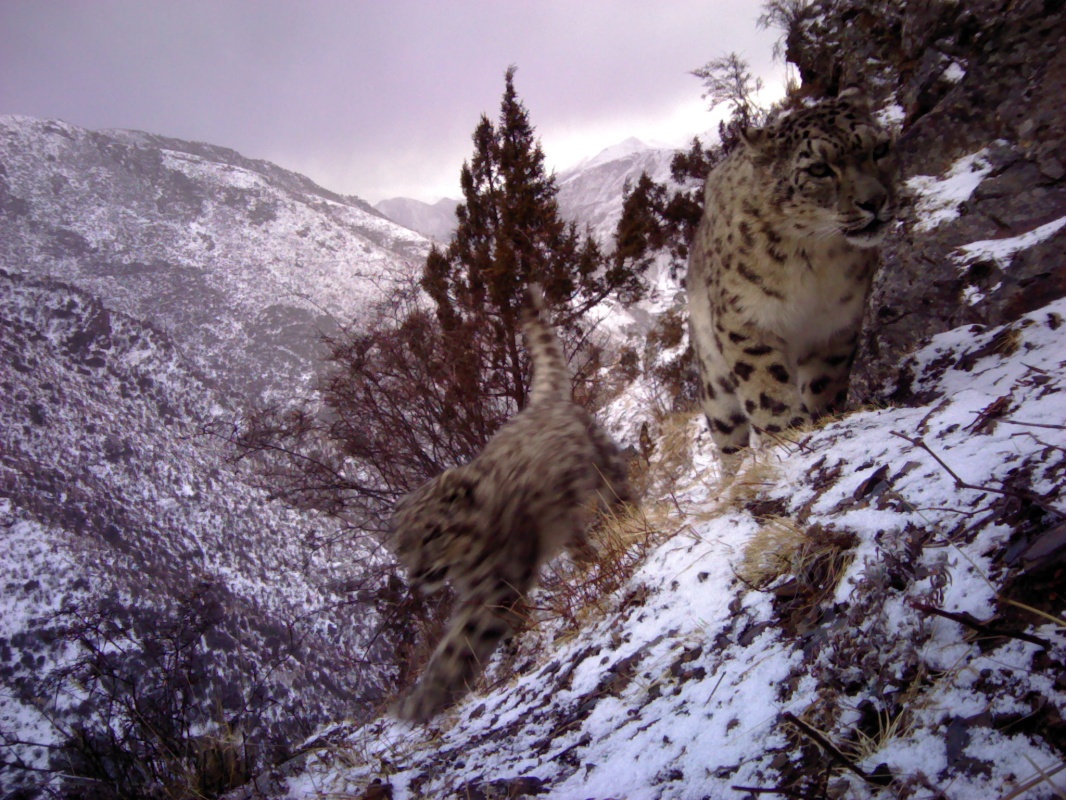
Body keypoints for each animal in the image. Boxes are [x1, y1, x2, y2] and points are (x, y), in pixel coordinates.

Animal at [388, 285, 631, 725]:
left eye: (433, 532)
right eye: (402, 545)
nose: (416, 575)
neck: (464, 571)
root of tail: (543, 403)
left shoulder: (495, 585)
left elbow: (461, 642)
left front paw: (420, 701)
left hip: (604, 469)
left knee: (620, 490)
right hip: (567, 518)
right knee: (577, 539)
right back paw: (589, 560)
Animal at [686, 87, 895, 469]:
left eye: (880, 149)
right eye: (819, 168)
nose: (874, 201)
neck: (815, 259)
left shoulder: (837, 322)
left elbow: (825, 379)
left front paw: (824, 417)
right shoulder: (746, 317)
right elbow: (765, 384)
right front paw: (787, 431)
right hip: (714, 381)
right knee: (727, 433)